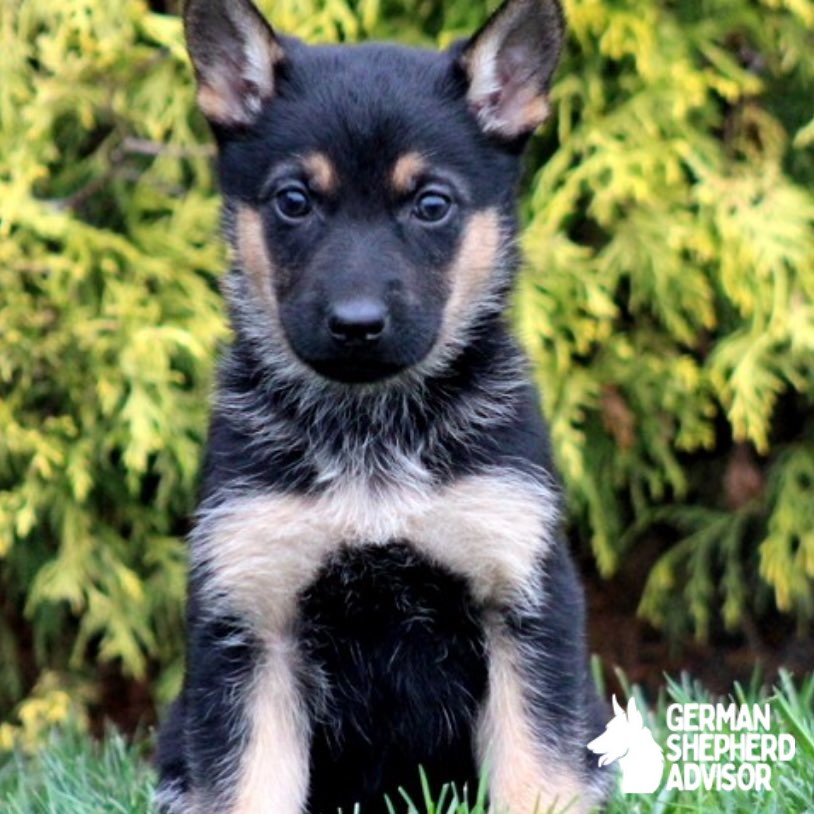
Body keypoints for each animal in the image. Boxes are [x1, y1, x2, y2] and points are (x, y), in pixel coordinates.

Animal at [156, 1, 612, 814]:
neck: (370, 427)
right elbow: (249, 784)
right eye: (294, 201)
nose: (357, 324)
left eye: (431, 205)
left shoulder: (523, 600)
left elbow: (535, 769)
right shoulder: (252, 619)